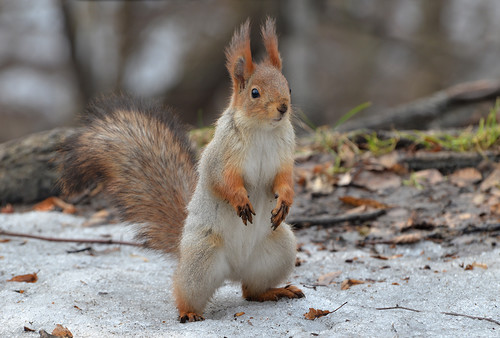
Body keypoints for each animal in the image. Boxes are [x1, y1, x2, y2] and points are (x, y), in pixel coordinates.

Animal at [58, 17, 300, 322]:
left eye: (288, 87)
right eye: (255, 93)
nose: (283, 108)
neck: (263, 132)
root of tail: (234, 270)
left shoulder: (284, 158)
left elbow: (284, 180)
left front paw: (285, 202)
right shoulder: (220, 158)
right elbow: (223, 181)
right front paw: (240, 200)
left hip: (279, 249)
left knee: (251, 291)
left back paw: (274, 291)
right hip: (202, 258)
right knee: (186, 289)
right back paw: (189, 313)